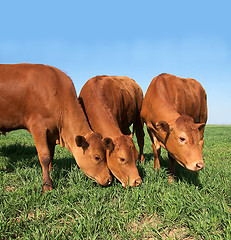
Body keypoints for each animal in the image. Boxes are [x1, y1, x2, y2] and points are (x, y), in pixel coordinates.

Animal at [0, 62, 112, 192]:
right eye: (97, 157)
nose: (109, 180)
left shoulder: (52, 132)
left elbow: (51, 154)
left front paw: (50, 172)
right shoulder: (38, 128)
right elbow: (45, 156)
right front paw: (47, 184)